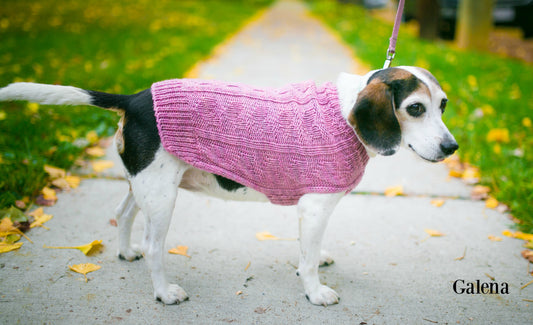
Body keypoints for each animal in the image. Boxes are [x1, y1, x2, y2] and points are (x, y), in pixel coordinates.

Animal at [0, 66, 458, 306]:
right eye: (415, 108)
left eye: (443, 105)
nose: (452, 147)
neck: (345, 116)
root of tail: (134, 98)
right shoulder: (315, 207)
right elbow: (308, 260)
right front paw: (314, 292)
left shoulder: (308, 210)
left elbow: (308, 251)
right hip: (162, 198)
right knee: (154, 246)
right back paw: (163, 291)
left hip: (144, 185)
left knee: (122, 215)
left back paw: (126, 251)